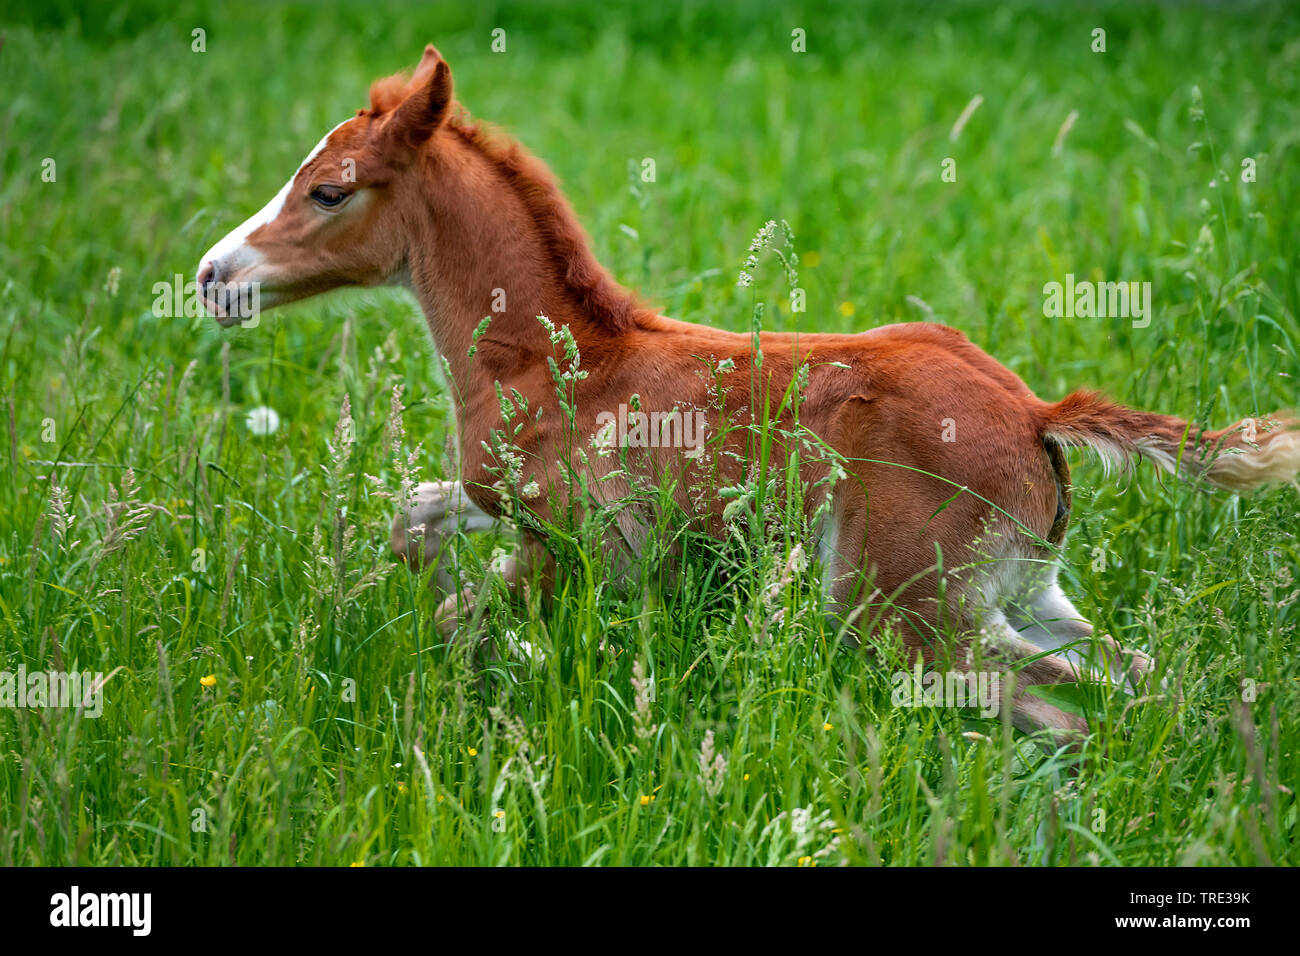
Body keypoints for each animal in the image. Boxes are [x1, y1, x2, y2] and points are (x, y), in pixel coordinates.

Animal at [196, 45, 1300, 747]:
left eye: (330, 189)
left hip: (901, 603)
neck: (558, 357)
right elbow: (413, 519)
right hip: (1026, 590)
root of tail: (1036, 414)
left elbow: (468, 612)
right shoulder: (501, 502)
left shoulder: (574, 549)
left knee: (1050, 707)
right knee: (1140, 676)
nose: (213, 275)